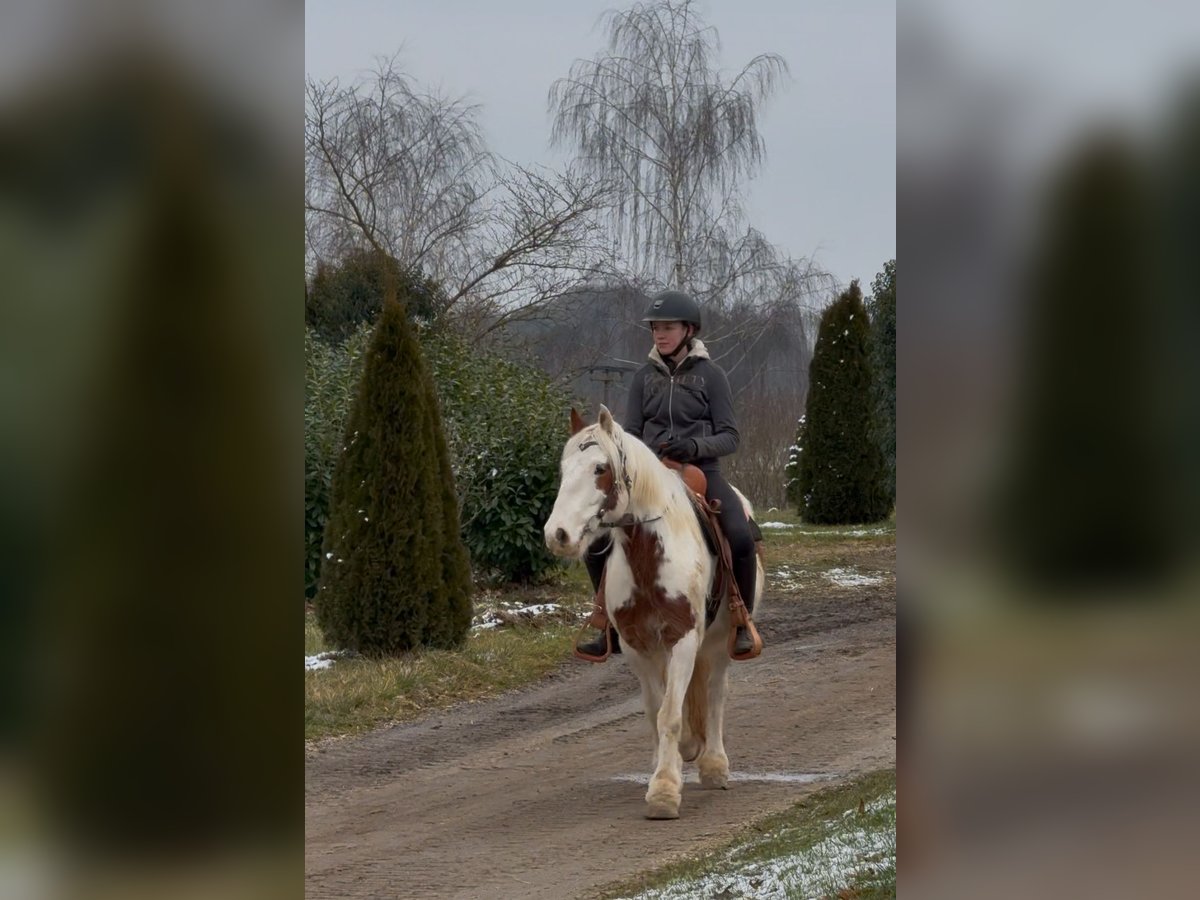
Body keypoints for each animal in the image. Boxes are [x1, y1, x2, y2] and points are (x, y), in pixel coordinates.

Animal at [542, 408, 763, 825]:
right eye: (564, 469)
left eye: (600, 468)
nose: (557, 534)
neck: (648, 555)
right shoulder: (637, 646)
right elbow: (656, 712)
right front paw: (667, 770)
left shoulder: (684, 638)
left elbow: (671, 715)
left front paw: (663, 793)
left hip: (719, 641)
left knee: (715, 694)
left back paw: (714, 765)